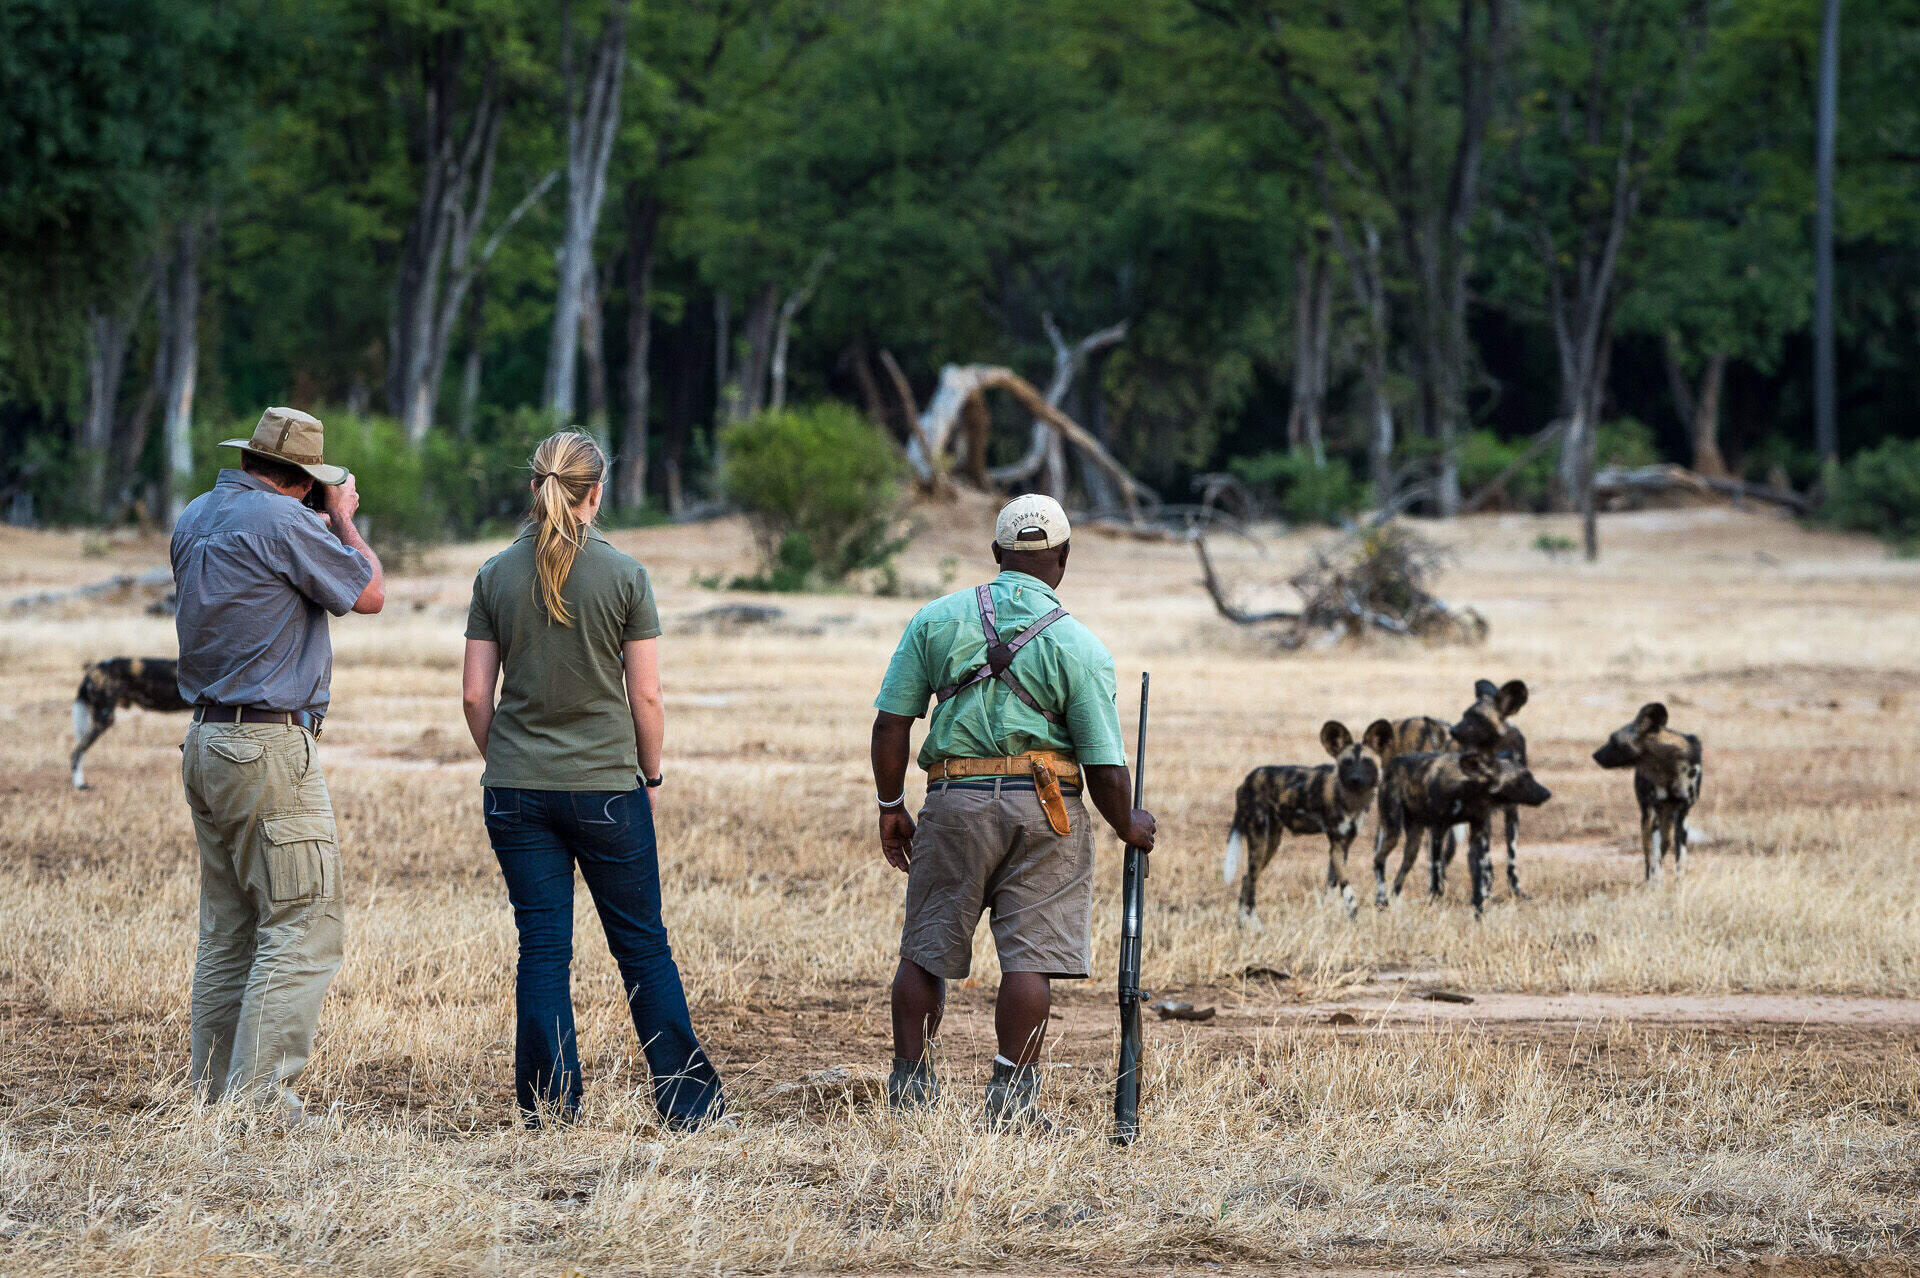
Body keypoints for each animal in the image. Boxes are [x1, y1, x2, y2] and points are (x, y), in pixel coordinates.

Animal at [1228, 717, 1397, 917]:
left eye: (1367, 762)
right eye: (1346, 763)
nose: (1355, 780)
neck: (1351, 800)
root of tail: (1247, 779)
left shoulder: (1344, 845)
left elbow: (1330, 887)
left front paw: (1324, 915)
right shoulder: (1336, 844)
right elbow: (1346, 888)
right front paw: (1354, 917)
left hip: (1271, 842)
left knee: (1246, 879)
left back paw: (1243, 923)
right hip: (1259, 839)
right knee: (1250, 881)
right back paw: (1254, 924)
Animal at [1374, 748, 1551, 917]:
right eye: (1522, 778)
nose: (1547, 793)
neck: (1468, 789)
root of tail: (1392, 763)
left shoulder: (1478, 834)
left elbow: (1478, 879)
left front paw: (1478, 915)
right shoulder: (1438, 832)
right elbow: (1436, 877)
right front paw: (1433, 903)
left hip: (1413, 843)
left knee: (1401, 872)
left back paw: (1392, 902)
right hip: (1393, 831)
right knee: (1378, 860)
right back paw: (1381, 902)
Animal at [1589, 702, 1712, 882]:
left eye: (1613, 740)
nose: (1594, 755)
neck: (1669, 767)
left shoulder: (1682, 815)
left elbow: (1680, 861)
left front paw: (1679, 884)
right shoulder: (1656, 813)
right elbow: (1655, 861)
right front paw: (1655, 884)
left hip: (1670, 822)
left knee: (1664, 847)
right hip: (1648, 819)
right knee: (1649, 857)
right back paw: (1648, 881)